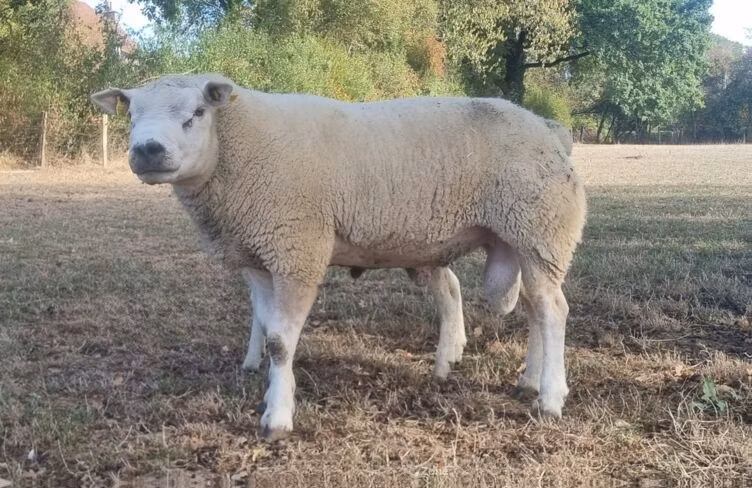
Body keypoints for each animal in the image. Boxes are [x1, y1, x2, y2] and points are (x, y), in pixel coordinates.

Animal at [90, 73, 587, 441]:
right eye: (131, 116)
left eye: (196, 113)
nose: (148, 150)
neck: (238, 150)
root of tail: (551, 130)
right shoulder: (258, 259)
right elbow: (265, 325)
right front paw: (269, 387)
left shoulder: (297, 249)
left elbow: (279, 341)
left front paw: (277, 419)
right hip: (521, 239)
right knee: (529, 306)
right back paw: (523, 379)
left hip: (541, 229)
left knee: (552, 309)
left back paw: (550, 397)